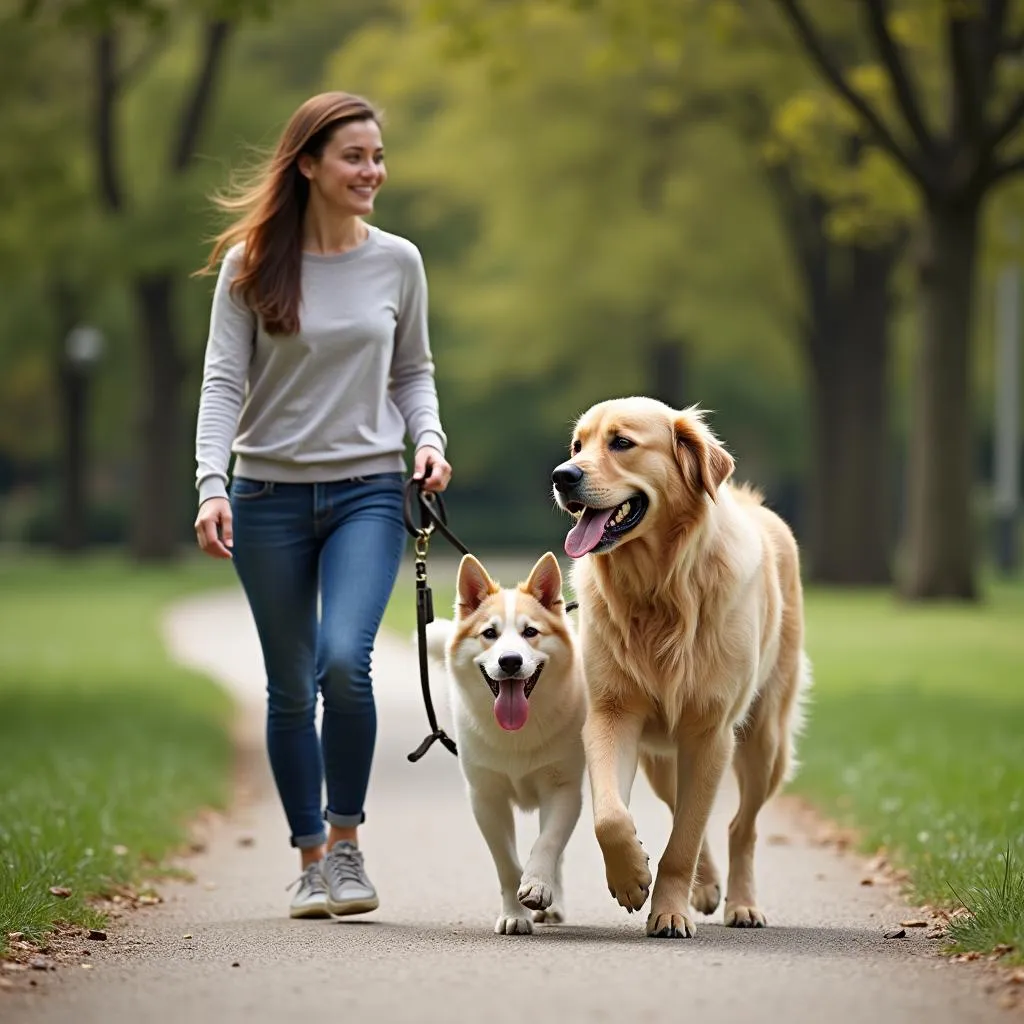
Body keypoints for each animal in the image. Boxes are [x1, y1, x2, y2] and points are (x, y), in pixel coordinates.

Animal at [423, 552, 585, 937]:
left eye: (530, 632)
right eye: (489, 634)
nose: (510, 661)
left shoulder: (564, 789)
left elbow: (547, 844)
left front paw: (538, 886)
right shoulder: (486, 798)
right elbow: (507, 865)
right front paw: (515, 913)